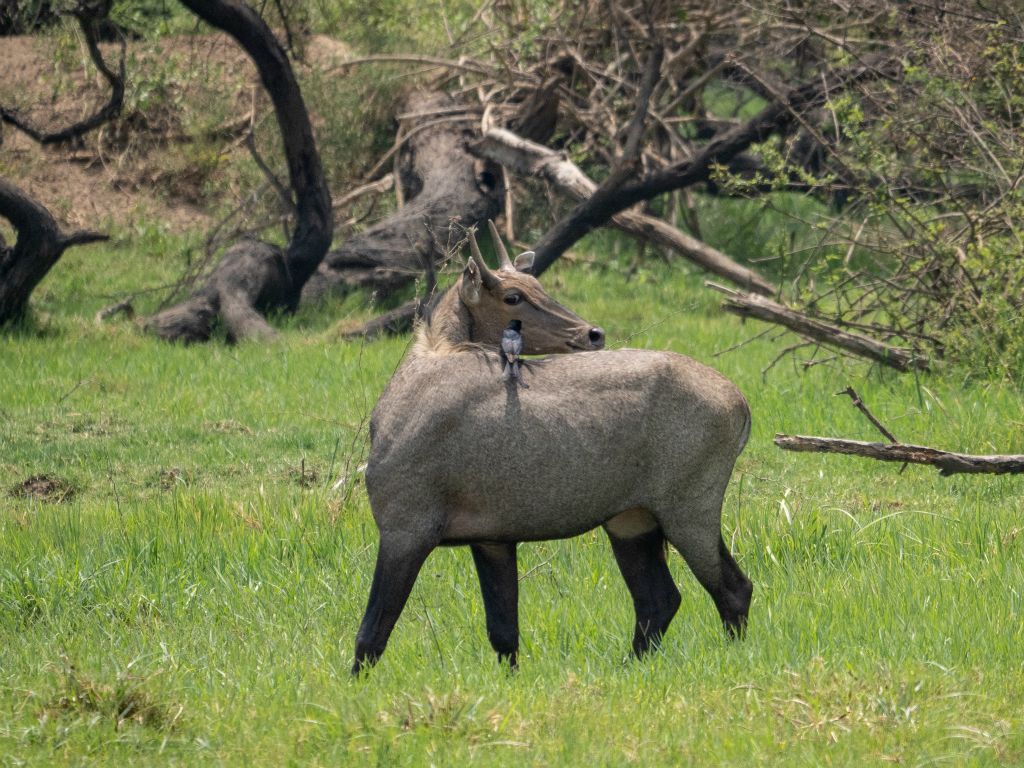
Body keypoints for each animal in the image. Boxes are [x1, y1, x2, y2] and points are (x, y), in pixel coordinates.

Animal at [354, 222, 753, 671]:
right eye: (513, 295)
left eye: (537, 286)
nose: (593, 334)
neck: (419, 377)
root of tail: (739, 402)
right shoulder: (492, 539)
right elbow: (503, 632)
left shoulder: (405, 528)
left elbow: (371, 634)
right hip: (632, 520)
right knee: (659, 599)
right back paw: (627, 667)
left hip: (688, 510)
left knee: (732, 588)